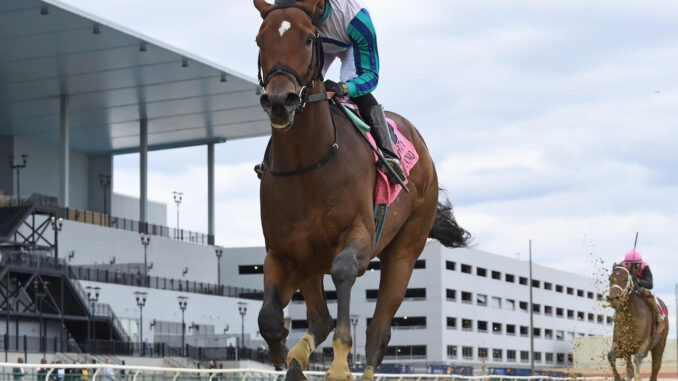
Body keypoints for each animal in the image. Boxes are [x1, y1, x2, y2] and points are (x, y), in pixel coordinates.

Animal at [252, 0, 470, 380]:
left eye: (307, 38)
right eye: (259, 40)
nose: (280, 100)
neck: (309, 164)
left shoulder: (361, 237)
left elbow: (343, 270)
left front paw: (339, 364)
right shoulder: (283, 252)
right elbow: (270, 319)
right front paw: (282, 350)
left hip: (404, 251)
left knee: (378, 334)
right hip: (310, 262)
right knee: (320, 319)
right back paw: (297, 355)